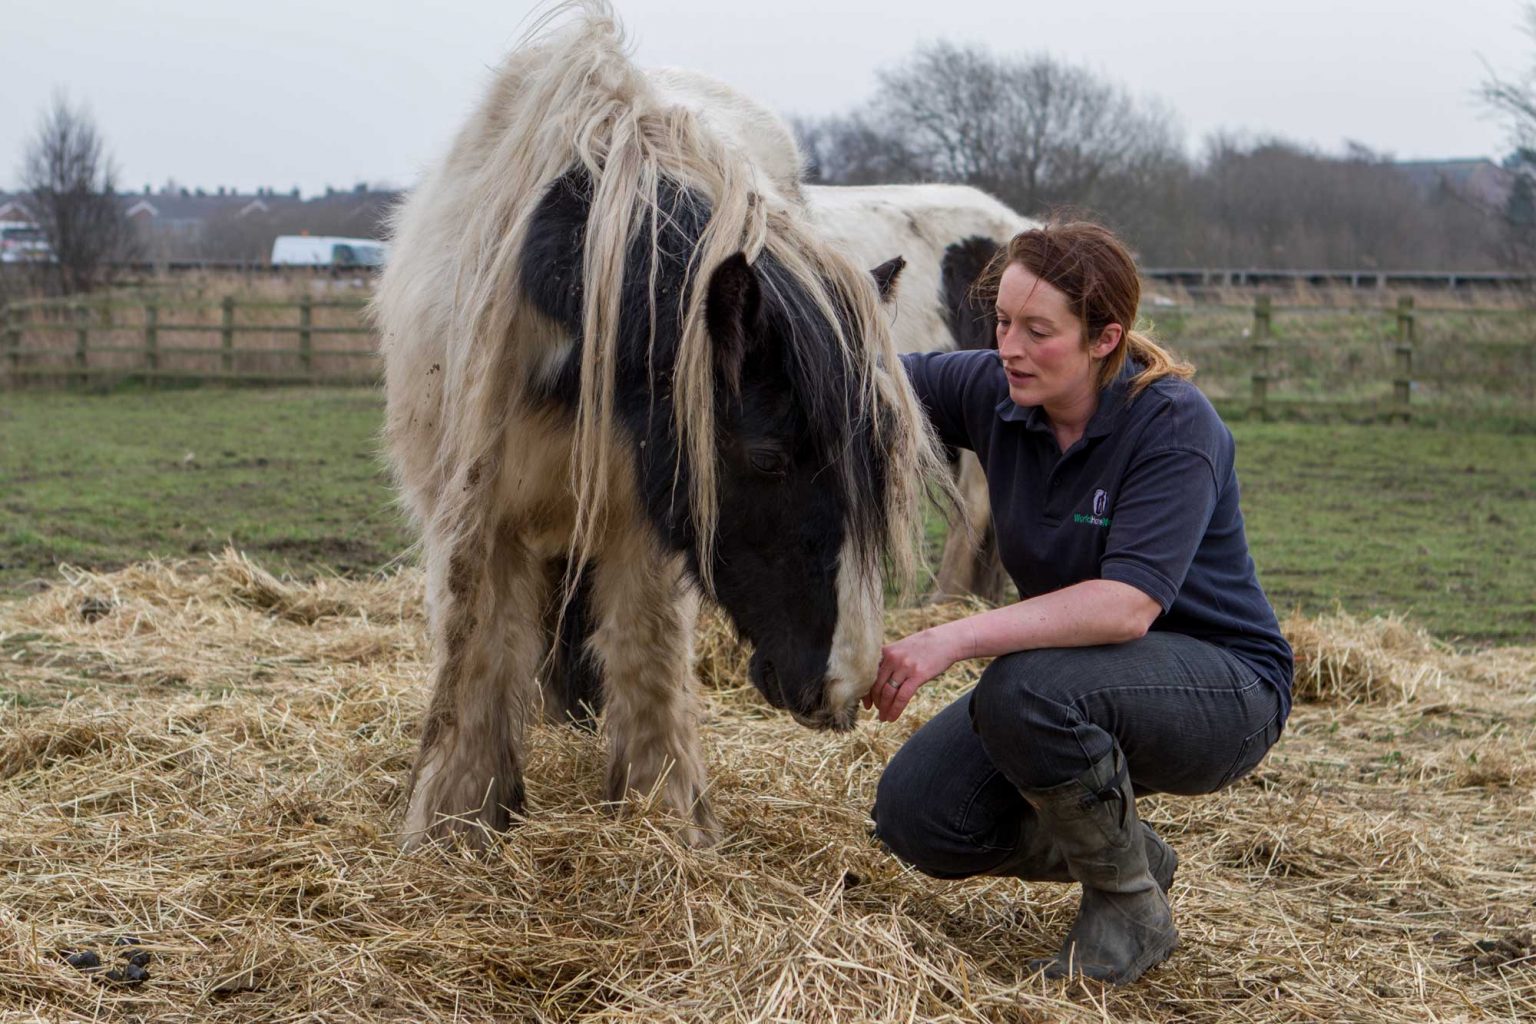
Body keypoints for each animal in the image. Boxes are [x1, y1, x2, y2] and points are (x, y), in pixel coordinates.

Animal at [371, 4, 946, 853]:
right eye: (767, 458)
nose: (845, 684)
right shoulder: (479, 519)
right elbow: (476, 660)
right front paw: (455, 827)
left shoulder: (641, 524)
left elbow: (645, 661)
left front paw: (664, 820)